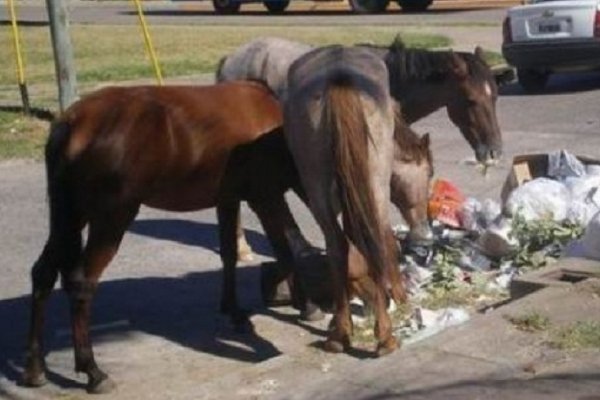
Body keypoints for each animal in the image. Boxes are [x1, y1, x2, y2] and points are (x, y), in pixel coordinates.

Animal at [21, 81, 310, 394]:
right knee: (82, 283)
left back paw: (35, 368)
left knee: (43, 274)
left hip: (70, 216)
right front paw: (305, 305)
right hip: (112, 217)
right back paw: (92, 370)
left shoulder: (228, 199)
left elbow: (229, 254)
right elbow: (286, 251)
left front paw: (234, 311)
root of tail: (73, 122)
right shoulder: (265, 196)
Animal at [284, 44, 434, 356]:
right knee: (380, 239)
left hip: (319, 191)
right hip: (376, 187)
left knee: (337, 247)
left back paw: (340, 333)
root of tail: (338, 77)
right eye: (429, 173)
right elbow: (384, 243)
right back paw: (385, 335)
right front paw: (397, 295)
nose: (423, 226)